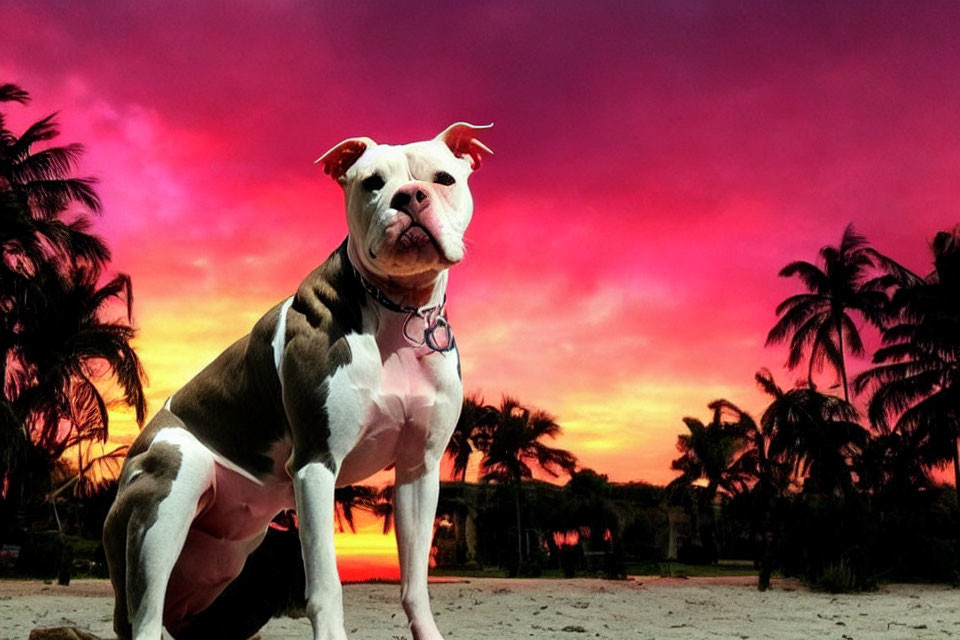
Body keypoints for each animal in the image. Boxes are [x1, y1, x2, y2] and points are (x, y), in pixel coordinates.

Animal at [103, 122, 496, 636]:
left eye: (444, 178)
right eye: (373, 183)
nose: (410, 196)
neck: (398, 310)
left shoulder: (419, 470)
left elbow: (414, 582)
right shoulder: (316, 463)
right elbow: (326, 583)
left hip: (221, 563)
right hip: (168, 492)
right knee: (146, 615)